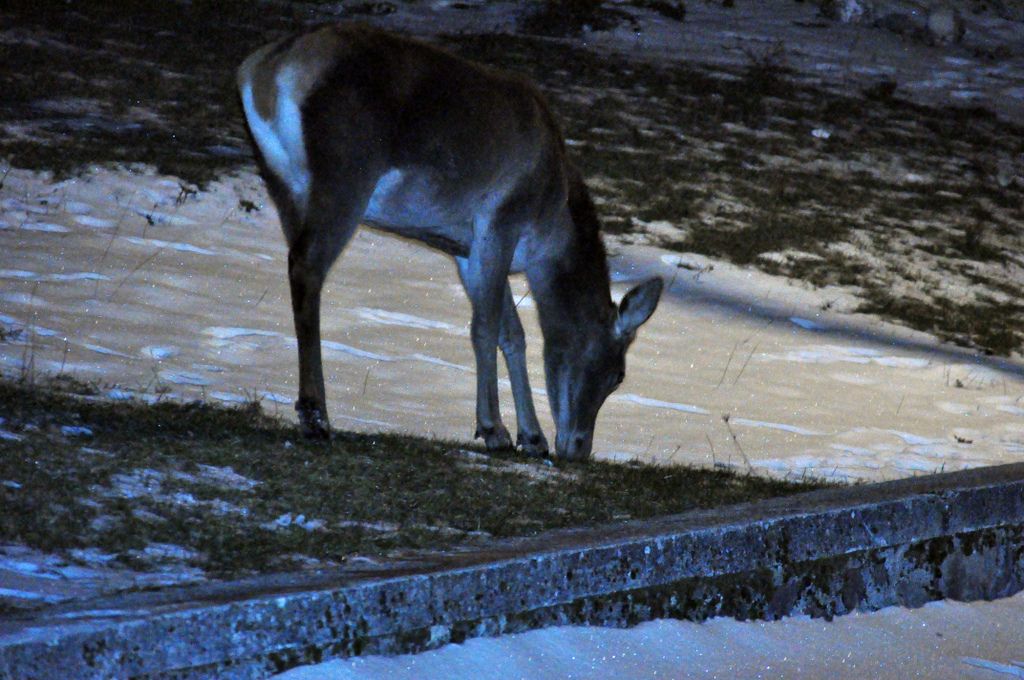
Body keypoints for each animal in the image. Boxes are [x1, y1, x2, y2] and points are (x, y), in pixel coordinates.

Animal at [237, 24, 662, 461]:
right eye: (618, 374)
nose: (578, 449)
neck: (549, 229)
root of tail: (265, 72)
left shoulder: (467, 249)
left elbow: (513, 335)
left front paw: (532, 437)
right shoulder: (501, 219)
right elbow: (484, 328)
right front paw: (494, 429)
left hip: (282, 180)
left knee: (297, 261)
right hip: (344, 173)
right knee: (307, 266)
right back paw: (316, 414)